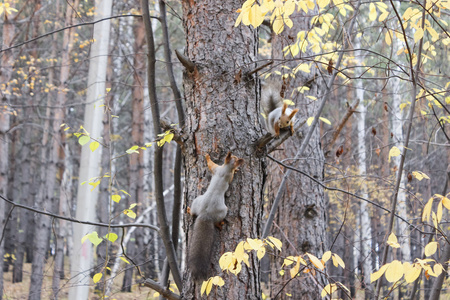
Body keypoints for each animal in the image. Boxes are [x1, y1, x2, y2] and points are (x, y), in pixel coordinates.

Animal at [186, 152, 243, 282]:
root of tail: (205, 214)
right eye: (235, 158)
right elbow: (212, 165)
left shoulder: (218, 169)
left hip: (197, 201)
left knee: (193, 213)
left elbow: (210, 165)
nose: (238, 159)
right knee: (217, 220)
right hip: (223, 210)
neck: (225, 168)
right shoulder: (221, 171)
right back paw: (219, 224)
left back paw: (189, 210)